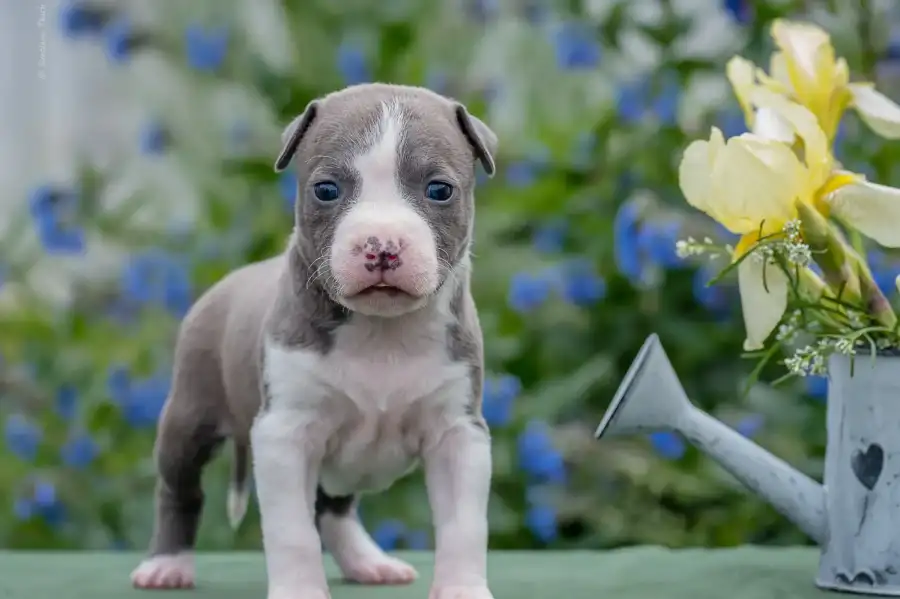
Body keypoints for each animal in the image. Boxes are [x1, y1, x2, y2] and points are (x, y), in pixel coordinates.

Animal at [130, 81, 500, 599]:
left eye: (439, 190)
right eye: (327, 189)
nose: (382, 246)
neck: (381, 331)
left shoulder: (458, 433)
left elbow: (464, 526)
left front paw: (463, 589)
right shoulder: (285, 432)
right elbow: (292, 531)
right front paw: (299, 591)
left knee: (333, 508)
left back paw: (367, 562)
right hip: (189, 416)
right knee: (180, 489)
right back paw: (166, 565)